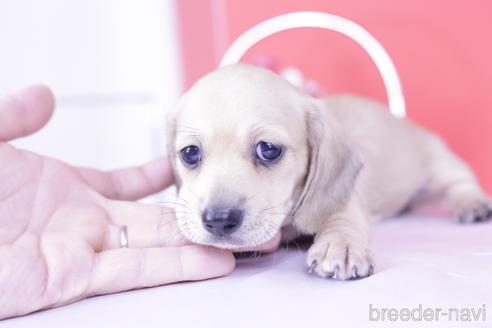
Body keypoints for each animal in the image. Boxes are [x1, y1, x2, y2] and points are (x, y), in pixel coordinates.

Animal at [166, 63, 492, 280]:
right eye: (190, 153)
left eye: (268, 149)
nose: (218, 221)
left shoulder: (348, 197)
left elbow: (341, 216)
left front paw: (340, 245)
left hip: (439, 163)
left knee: (459, 182)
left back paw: (471, 203)